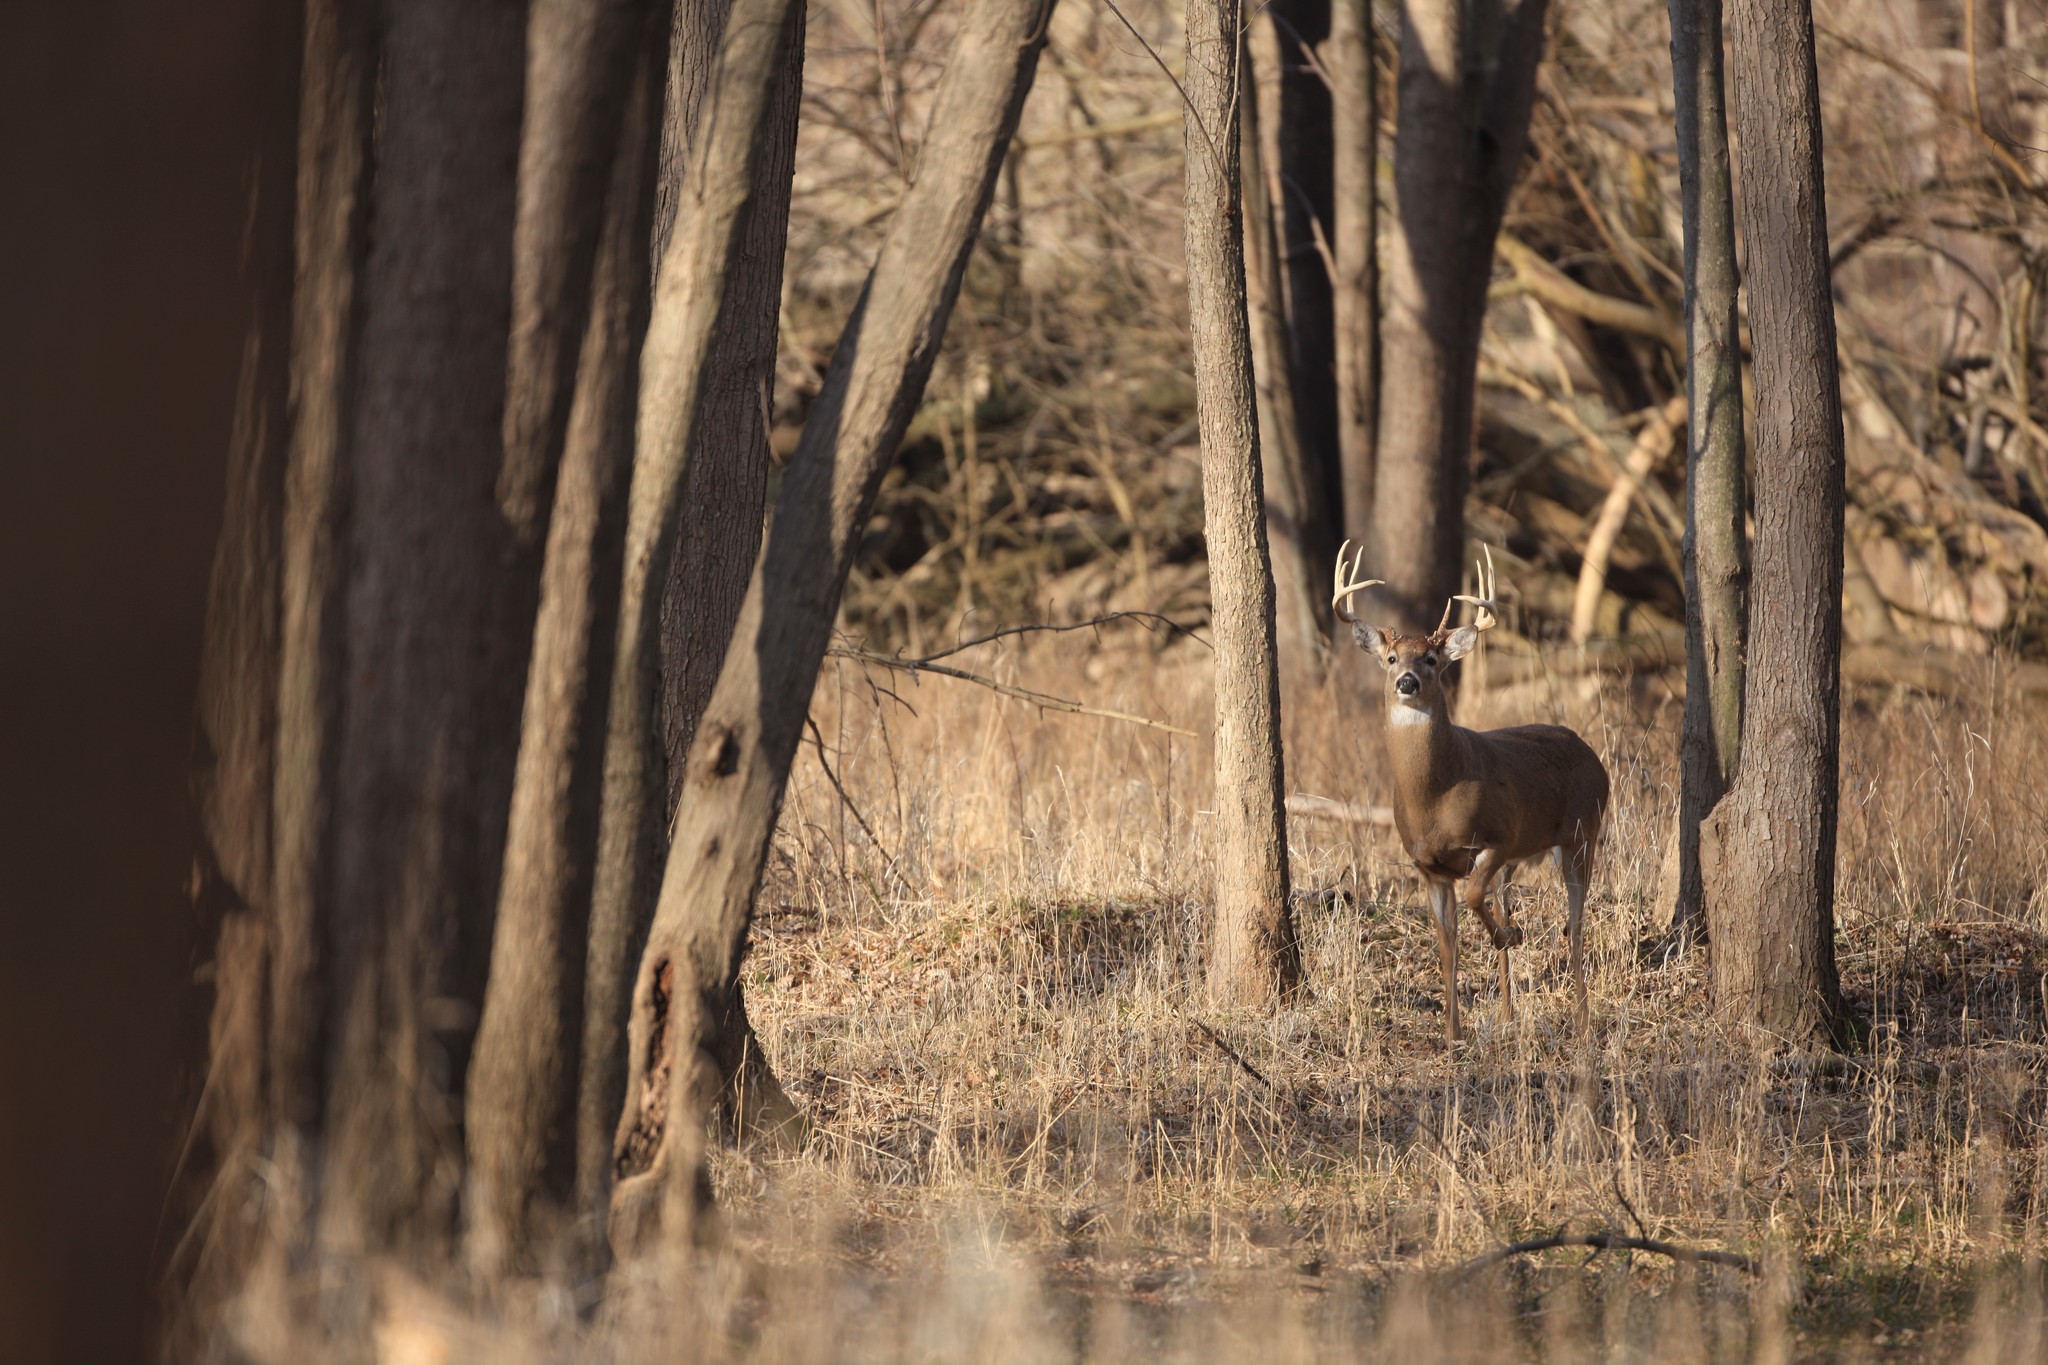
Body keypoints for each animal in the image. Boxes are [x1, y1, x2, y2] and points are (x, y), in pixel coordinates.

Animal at [1332, 542, 1610, 1044]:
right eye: (1390, 658)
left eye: (1432, 659)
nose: (1407, 681)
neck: (1434, 798)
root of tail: (1591, 755)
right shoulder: (1428, 867)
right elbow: (1448, 946)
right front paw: (1452, 1034)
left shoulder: (1499, 836)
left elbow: (1475, 897)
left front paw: (1509, 935)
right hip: (1532, 854)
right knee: (1515, 904)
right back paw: (1507, 1015)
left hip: (1583, 832)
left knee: (1577, 925)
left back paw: (1581, 1022)